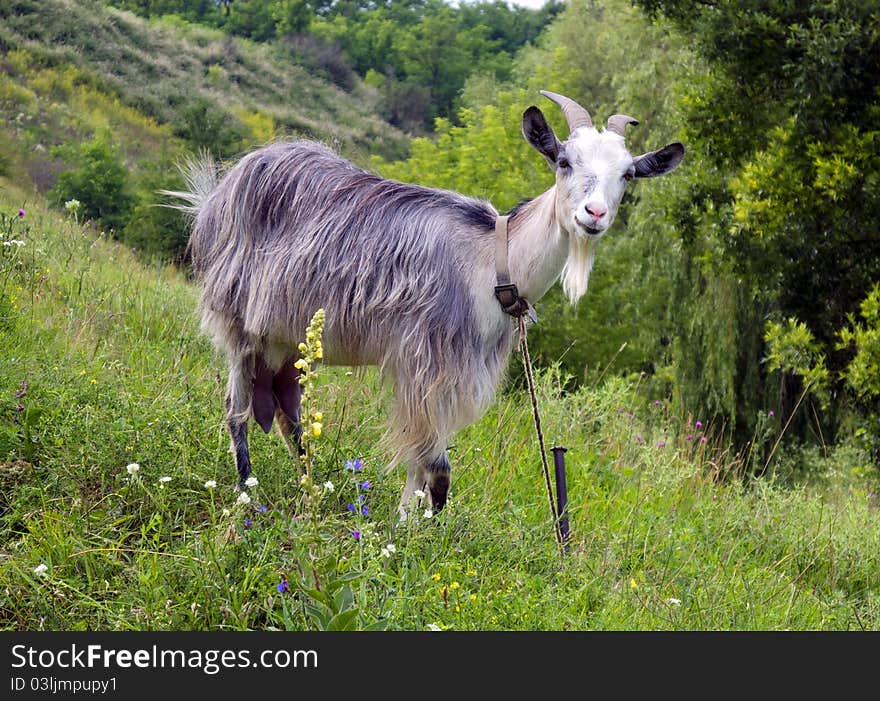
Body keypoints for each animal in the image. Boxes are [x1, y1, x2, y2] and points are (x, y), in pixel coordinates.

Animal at [168, 91, 684, 516]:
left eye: (629, 174)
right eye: (563, 160)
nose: (593, 214)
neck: (493, 261)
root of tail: (217, 192)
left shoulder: (454, 374)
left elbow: (422, 464)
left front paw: (402, 531)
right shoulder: (425, 361)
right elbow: (436, 470)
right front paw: (413, 539)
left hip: (285, 341)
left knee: (288, 413)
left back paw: (308, 489)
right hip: (239, 320)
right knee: (236, 410)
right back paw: (247, 494)